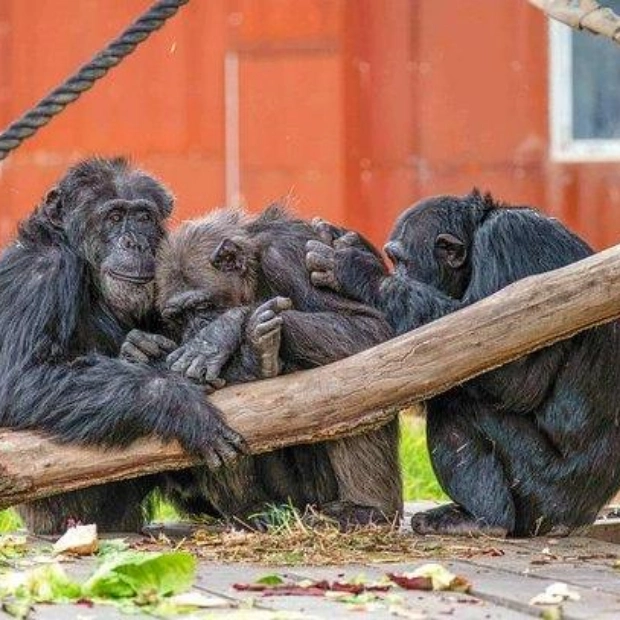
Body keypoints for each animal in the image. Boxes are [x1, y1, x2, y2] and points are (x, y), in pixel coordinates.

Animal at [0, 159, 247, 532]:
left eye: (143, 217)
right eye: (114, 217)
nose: (135, 243)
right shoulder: (37, 274)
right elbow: (21, 377)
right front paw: (178, 403)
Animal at [308, 190, 620, 536]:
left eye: (401, 261)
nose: (396, 273)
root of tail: (581, 519)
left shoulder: (510, 241)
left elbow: (515, 375)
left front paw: (357, 269)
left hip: (545, 496)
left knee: (459, 407)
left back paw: (482, 518)